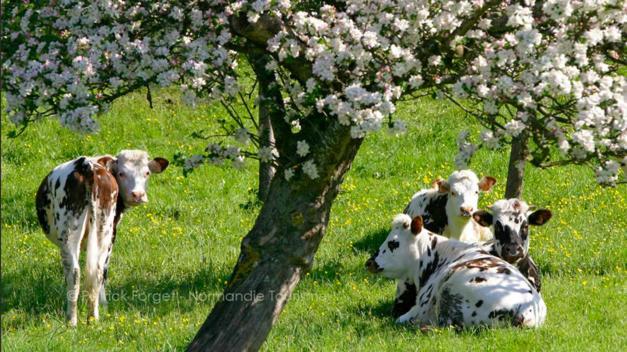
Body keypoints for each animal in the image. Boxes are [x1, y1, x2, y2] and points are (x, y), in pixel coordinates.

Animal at [35, 150, 168, 326]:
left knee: (74, 272)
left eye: (147, 173)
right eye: (121, 173)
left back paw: (72, 320)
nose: (138, 195)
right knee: (98, 270)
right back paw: (93, 317)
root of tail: (87, 165)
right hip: (104, 227)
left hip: (69, 232)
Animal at [366, 214, 548, 330]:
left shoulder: (421, 307)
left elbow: (401, 318)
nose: (369, 262)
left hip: (450, 289)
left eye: (393, 243)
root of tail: (528, 311)